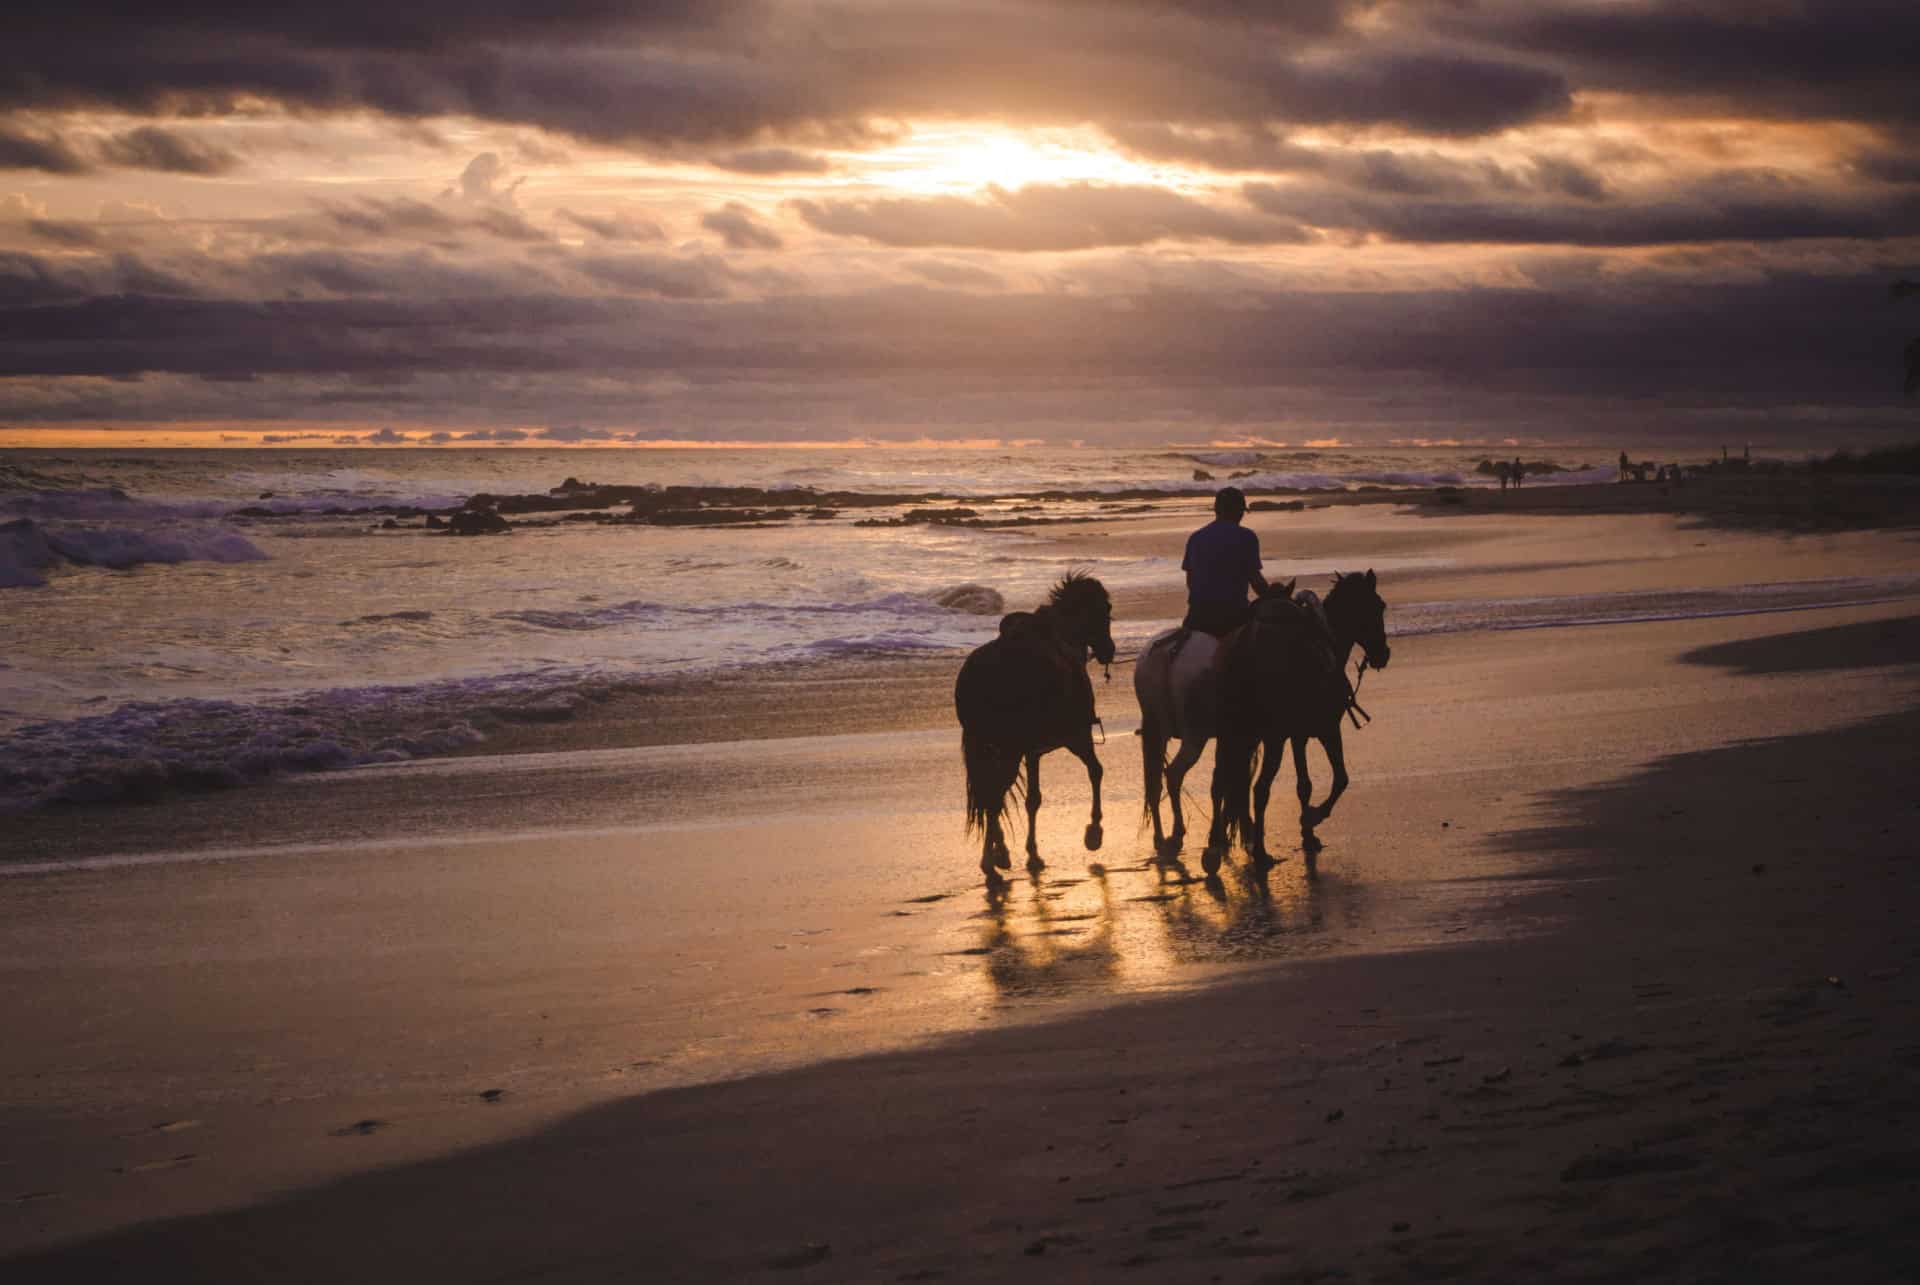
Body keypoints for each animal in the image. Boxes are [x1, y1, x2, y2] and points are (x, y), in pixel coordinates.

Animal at [952, 572, 1121, 883]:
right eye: (1106, 610)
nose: (1109, 650)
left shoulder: (1031, 752)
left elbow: (1033, 799)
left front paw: (1031, 852)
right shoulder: (1076, 736)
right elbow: (1096, 771)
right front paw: (1094, 833)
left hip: (989, 745)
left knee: (991, 794)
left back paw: (997, 854)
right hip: (1010, 748)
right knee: (994, 796)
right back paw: (991, 861)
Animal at [1128, 576, 1297, 856]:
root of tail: (1172, 650)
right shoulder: (1246, 737)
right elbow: (1237, 780)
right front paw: (1239, 831)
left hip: (1156, 730)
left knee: (1155, 782)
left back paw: (1161, 836)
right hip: (1194, 736)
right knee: (1173, 774)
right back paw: (1178, 831)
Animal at [1205, 572, 1390, 872]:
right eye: (1377, 606)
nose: (1383, 654)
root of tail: (1245, 648)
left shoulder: (1297, 736)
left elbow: (1304, 785)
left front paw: (1308, 835)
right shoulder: (1326, 730)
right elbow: (1341, 778)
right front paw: (1313, 817)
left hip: (1233, 734)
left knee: (1221, 782)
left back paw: (1214, 847)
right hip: (1271, 739)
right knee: (1260, 789)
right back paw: (1260, 852)